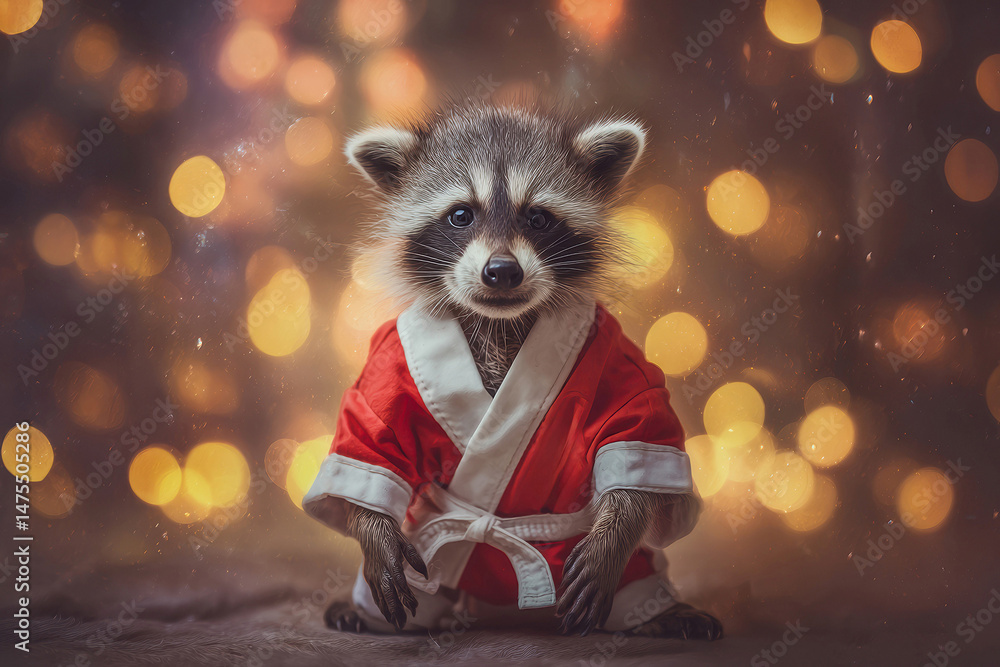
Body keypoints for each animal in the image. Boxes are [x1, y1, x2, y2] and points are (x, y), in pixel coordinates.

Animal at [318, 102, 721, 640]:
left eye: (539, 217)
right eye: (461, 215)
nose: (502, 270)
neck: (499, 321)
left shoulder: (614, 354)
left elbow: (637, 433)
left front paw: (614, 536)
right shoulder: (391, 360)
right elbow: (372, 440)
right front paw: (373, 532)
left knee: (635, 573)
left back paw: (656, 609)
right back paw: (364, 610)